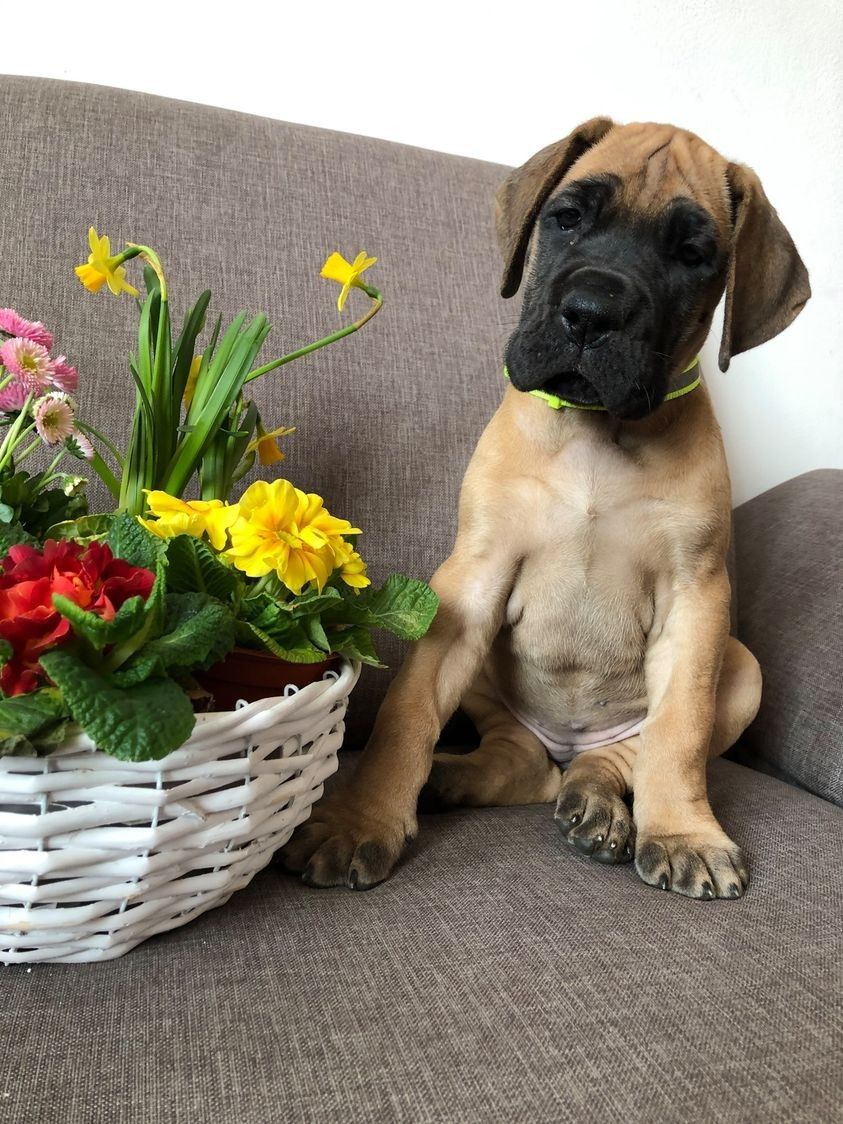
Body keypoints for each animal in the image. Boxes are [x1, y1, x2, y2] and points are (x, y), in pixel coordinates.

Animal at [282, 118, 810, 899]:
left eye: (692, 255)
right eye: (566, 218)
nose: (590, 315)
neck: (598, 435)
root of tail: (565, 746)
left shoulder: (697, 600)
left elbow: (678, 730)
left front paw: (685, 833)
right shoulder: (470, 582)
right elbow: (407, 713)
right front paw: (360, 819)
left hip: (740, 669)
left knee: (617, 759)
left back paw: (598, 805)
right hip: (485, 669)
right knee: (521, 760)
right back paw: (454, 780)